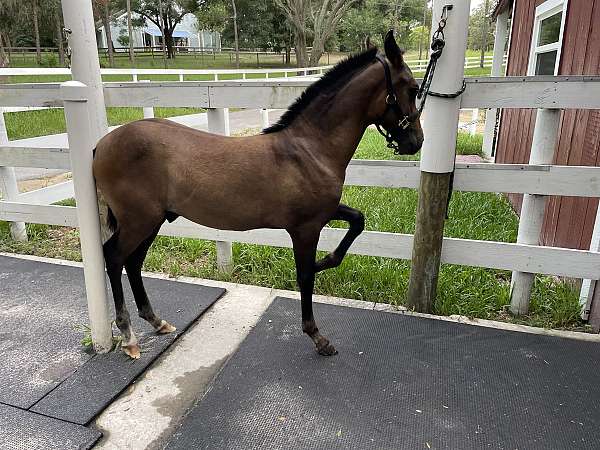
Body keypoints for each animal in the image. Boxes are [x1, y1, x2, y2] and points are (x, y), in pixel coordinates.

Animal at [92, 30, 422, 358]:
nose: (416, 142)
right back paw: (129, 336)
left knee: (133, 262)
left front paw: (326, 260)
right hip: (139, 221)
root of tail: (102, 144)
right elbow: (305, 276)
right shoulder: (305, 228)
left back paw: (157, 321)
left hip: (153, 221)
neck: (310, 149)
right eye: (413, 88)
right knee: (114, 257)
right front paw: (317, 336)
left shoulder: (324, 213)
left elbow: (357, 221)